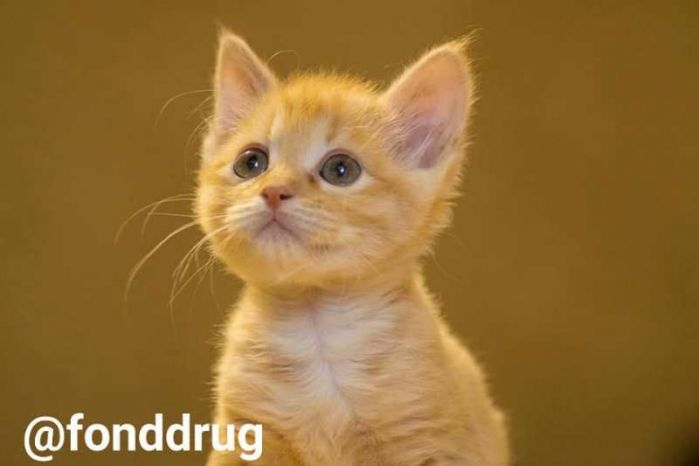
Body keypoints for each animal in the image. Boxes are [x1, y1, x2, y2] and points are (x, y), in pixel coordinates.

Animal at [197, 31, 509, 466]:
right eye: (251, 162)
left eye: (340, 170)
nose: (273, 191)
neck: (317, 336)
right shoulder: (246, 435)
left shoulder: (429, 438)